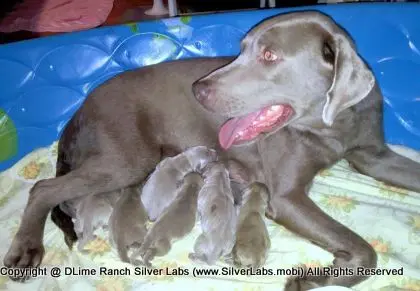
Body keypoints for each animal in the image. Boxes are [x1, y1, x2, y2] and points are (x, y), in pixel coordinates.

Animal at [4, 10, 420, 290]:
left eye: (269, 55)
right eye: (242, 49)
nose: (198, 89)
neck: (330, 125)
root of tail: (79, 110)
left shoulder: (374, 156)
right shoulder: (287, 198)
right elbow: (364, 249)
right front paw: (315, 278)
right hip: (125, 159)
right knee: (43, 188)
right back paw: (25, 249)